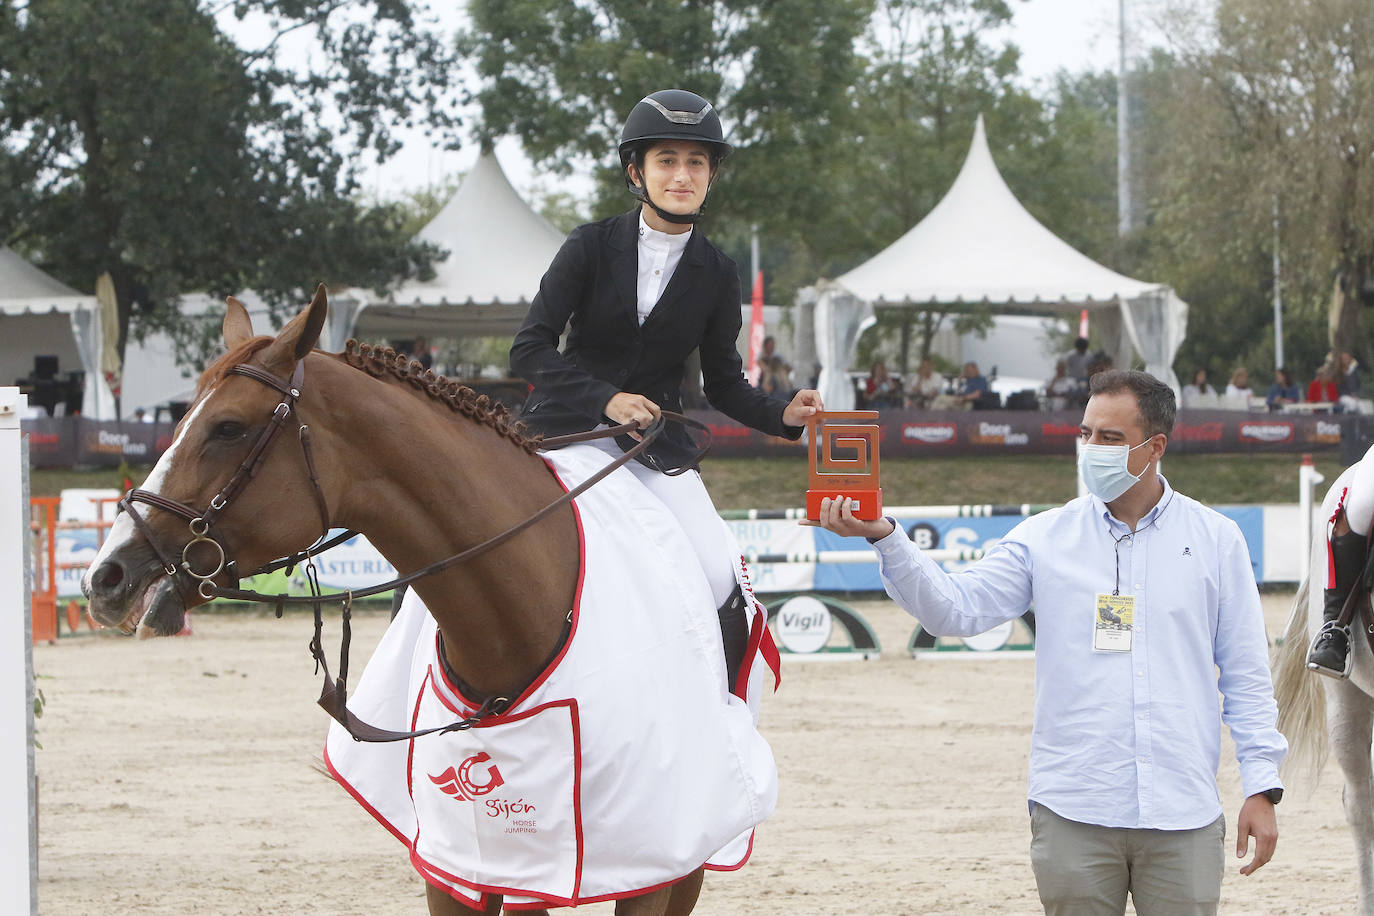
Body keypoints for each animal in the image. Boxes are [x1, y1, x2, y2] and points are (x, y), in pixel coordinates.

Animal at [83, 284, 774, 911]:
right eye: (178, 422)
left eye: (229, 428)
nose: (105, 578)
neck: (518, 614)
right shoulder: (460, 868)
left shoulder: (639, 863)